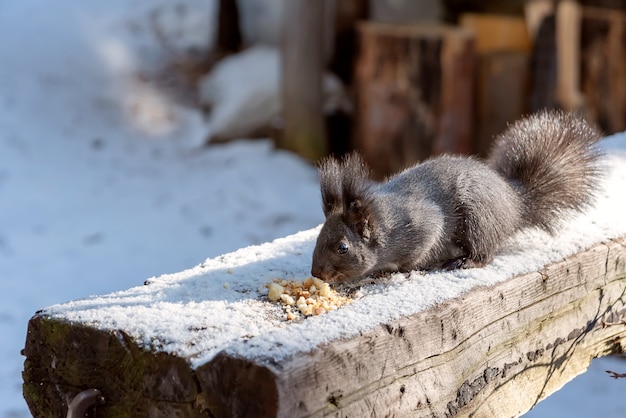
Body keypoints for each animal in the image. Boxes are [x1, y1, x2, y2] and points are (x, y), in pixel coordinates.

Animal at [310, 109, 604, 282]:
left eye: (343, 248)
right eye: (319, 236)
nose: (316, 273)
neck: (383, 223)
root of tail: (514, 203)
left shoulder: (422, 226)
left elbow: (416, 254)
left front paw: (397, 270)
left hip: (478, 219)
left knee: (485, 253)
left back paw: (463, 261)